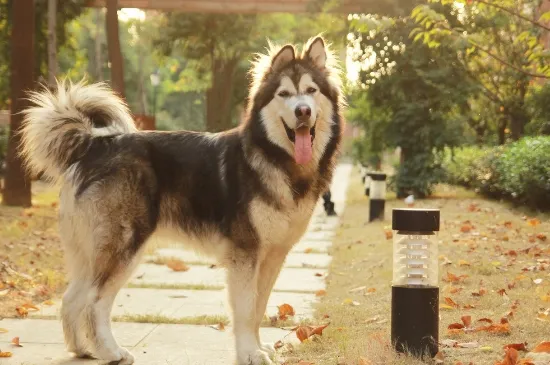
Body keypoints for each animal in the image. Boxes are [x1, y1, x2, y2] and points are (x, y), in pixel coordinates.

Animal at [20, 35, 344, 362]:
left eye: (311, 91)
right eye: (284, 94)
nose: (302, 111)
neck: (275, 158)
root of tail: (96, 144)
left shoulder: (272, 256)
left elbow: (259, 307)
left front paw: (259, 347)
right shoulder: (245, 255)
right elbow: (245, 311)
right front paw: (249, 353)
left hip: (88, 252)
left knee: (72, 297)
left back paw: (82, 349)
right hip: (124, 248)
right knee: (93, 302)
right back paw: (110, 351)